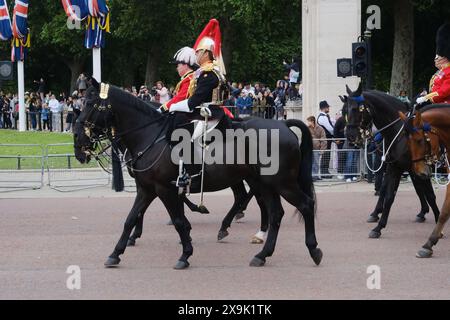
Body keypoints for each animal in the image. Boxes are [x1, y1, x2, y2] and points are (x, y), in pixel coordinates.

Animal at [73, 79, 324, 268]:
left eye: (91, 102)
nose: (79, 143)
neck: (150, 134)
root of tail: (283, 124)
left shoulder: (164, 189)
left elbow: (177, 220)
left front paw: (185, 254)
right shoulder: (146, 188)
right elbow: (131, 218)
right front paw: (116, 253)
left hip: (282, 183)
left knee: (304, 204)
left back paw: (313, 250)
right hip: (264, 183)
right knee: (274, 213)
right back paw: (262, 253)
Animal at [344, 84, 440, 239]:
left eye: (355, 109)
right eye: (344, 110)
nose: (350, 136)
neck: (398, 132)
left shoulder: (418, 167)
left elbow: (429, 194)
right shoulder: (396, 166)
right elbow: (389, 194)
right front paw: (378, 224)